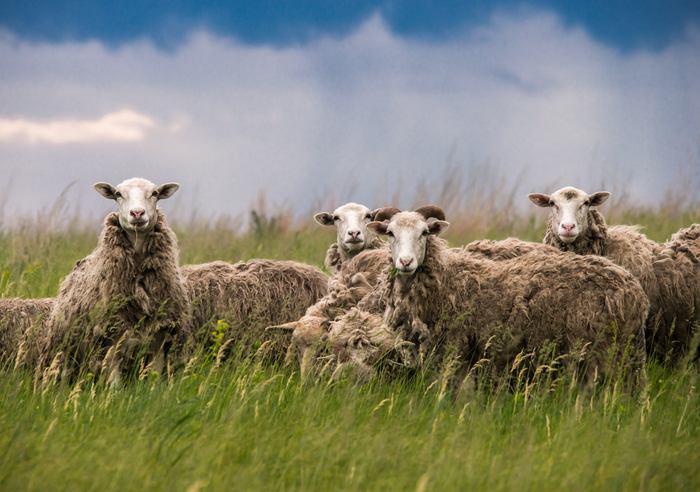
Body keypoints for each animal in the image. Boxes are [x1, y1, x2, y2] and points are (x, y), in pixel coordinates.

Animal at [37, 178, 191, 384]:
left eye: (155, 193)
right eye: (118, 194)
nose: (137, 213)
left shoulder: (159, 341)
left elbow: (154, 381)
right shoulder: (110, 343)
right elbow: (115, 386)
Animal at [330, 206, 648, 390]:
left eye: (424, 233)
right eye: (391, 233)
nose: (406, 262)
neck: (446, 279)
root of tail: (633, 289)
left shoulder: (454, 350)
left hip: (606, 352)